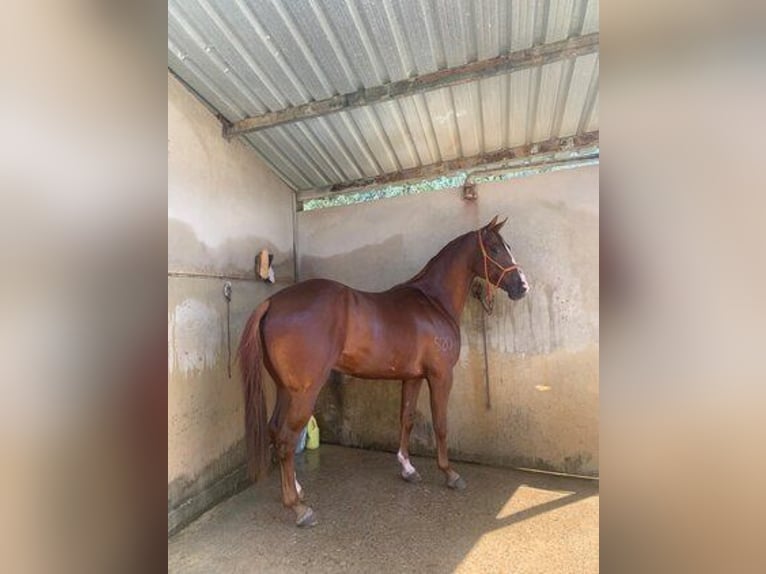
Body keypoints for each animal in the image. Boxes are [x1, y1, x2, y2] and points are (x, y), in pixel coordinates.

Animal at [238, 216, 528, 528]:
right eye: (495, 248)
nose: (523, 286)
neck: (434, 302)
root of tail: (272, 303)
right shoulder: (440, 377)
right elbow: (441, 424)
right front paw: (450, 474)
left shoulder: (412, 378)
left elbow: (406, 419)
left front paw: (408, 469)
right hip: (305, 391)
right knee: (286, 439)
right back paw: (298, 508)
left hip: (285, 388)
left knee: (274, 430)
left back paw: (297, 489)